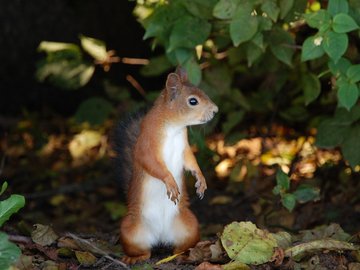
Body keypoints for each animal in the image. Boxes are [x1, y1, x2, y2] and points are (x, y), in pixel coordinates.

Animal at [114, 66, 218, 264]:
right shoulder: (147, 143)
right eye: (193, 101)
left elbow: (191, 161)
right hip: (130, 231)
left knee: (180, 246)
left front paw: (201, 179)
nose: (216, 110)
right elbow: (151, 163)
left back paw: (184, 255)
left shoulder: (184, 147)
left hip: (190, 227)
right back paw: (134, 258)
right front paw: (169, 181)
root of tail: (161, 236)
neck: (174, 127)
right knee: (144, 251)